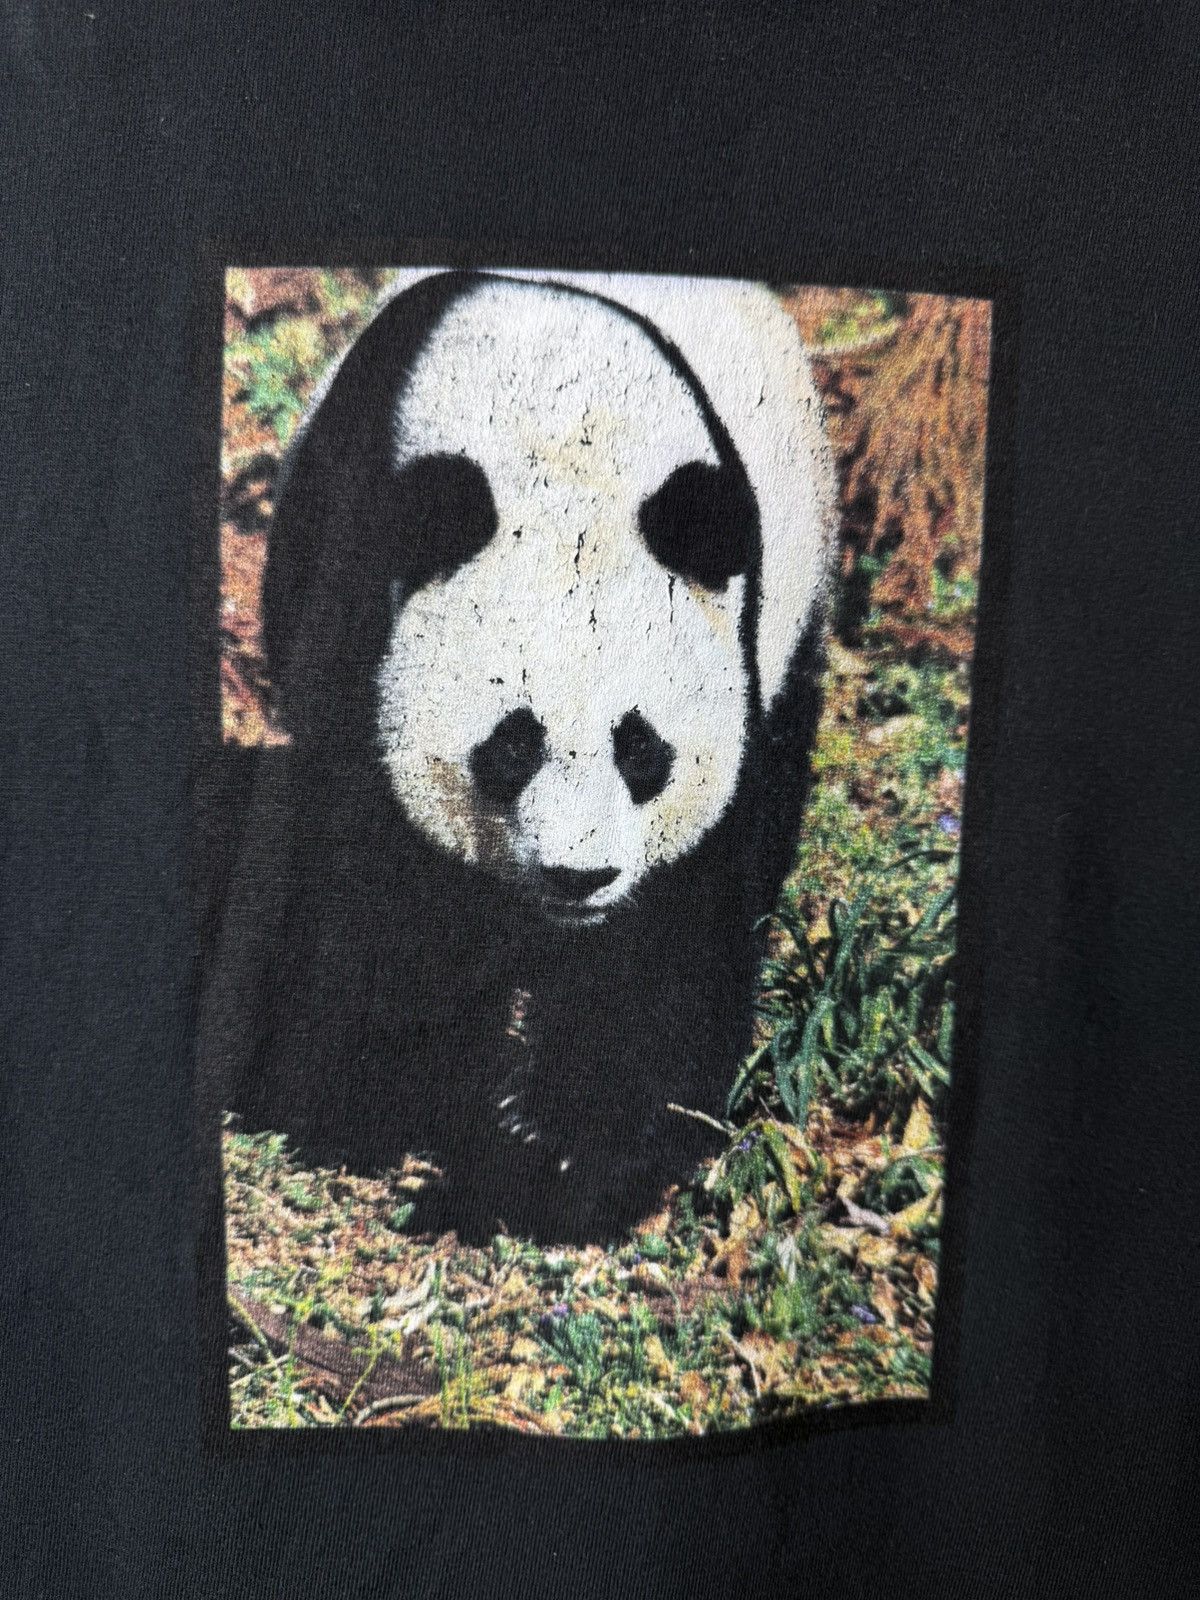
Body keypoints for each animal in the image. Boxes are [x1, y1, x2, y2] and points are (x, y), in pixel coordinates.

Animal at [201, 268, 836, 1244]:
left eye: (642, 750)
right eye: (512, 746)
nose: (581, 877)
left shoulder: (731, 672)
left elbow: (665, 955)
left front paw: (552, 1163)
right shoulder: (360, 611)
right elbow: (369, 896)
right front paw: (377, 1111)